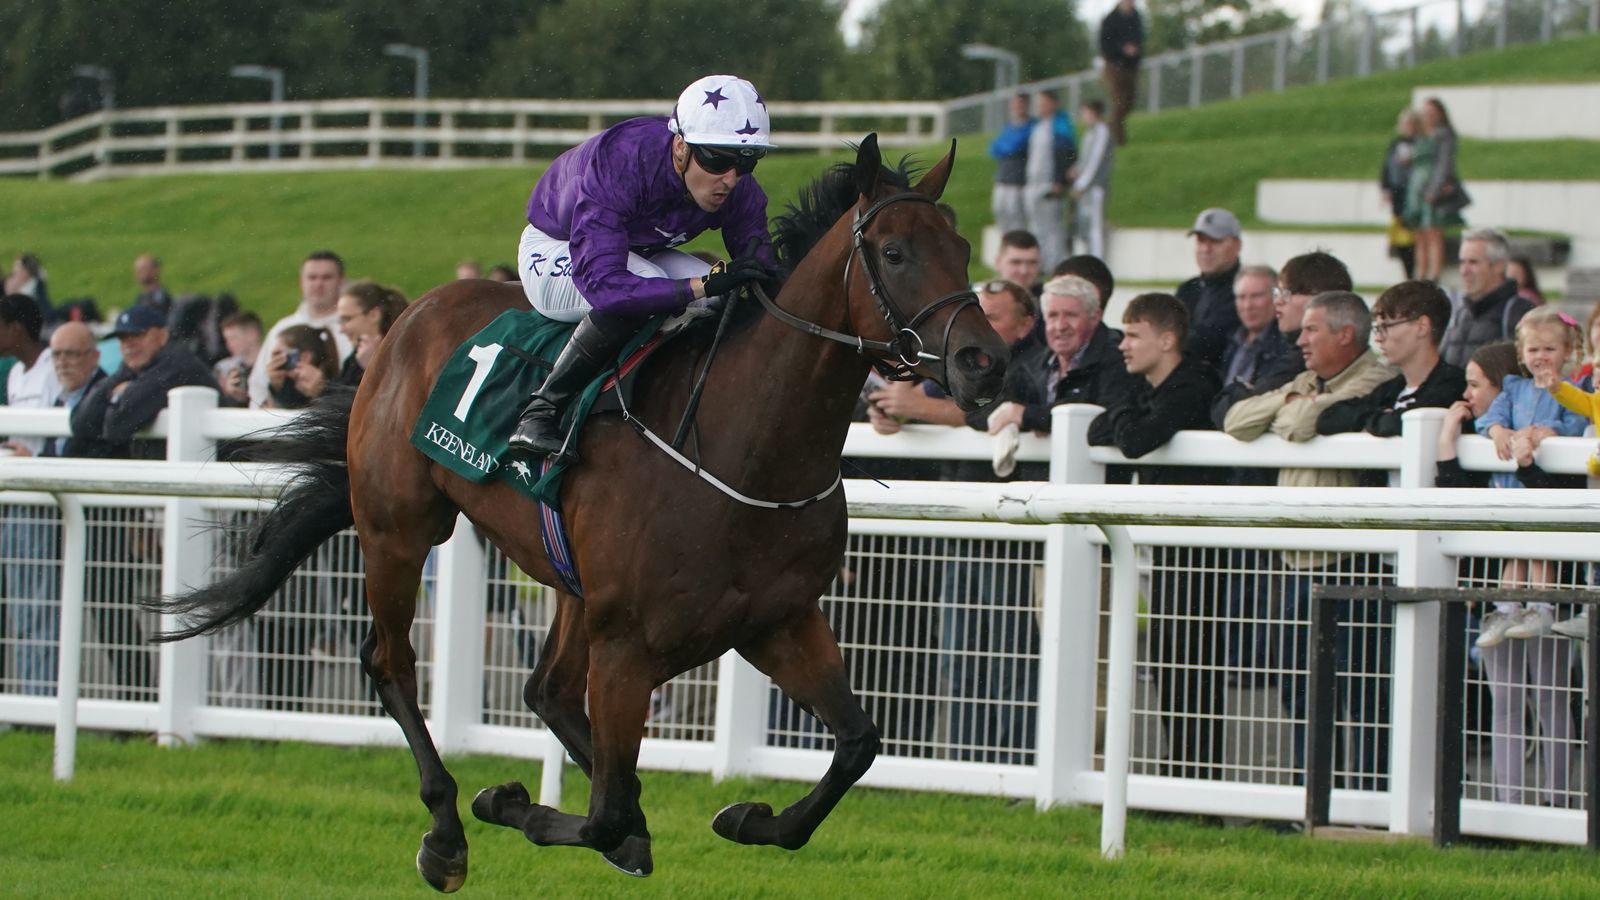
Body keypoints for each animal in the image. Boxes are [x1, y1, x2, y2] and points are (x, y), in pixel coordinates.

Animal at [150, 136, 998, 883]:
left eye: (962, 248)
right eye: (895, 251)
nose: (981, 363)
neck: (744, 445)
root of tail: (408, 315)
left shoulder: (777, 620)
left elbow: (857, 743)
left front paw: (749, 816)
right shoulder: (628, 648)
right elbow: (605, 813)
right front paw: (506, 802)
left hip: (567, 578)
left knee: (547, 692)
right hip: (398, 525)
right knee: (391, 662)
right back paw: (447, 830)